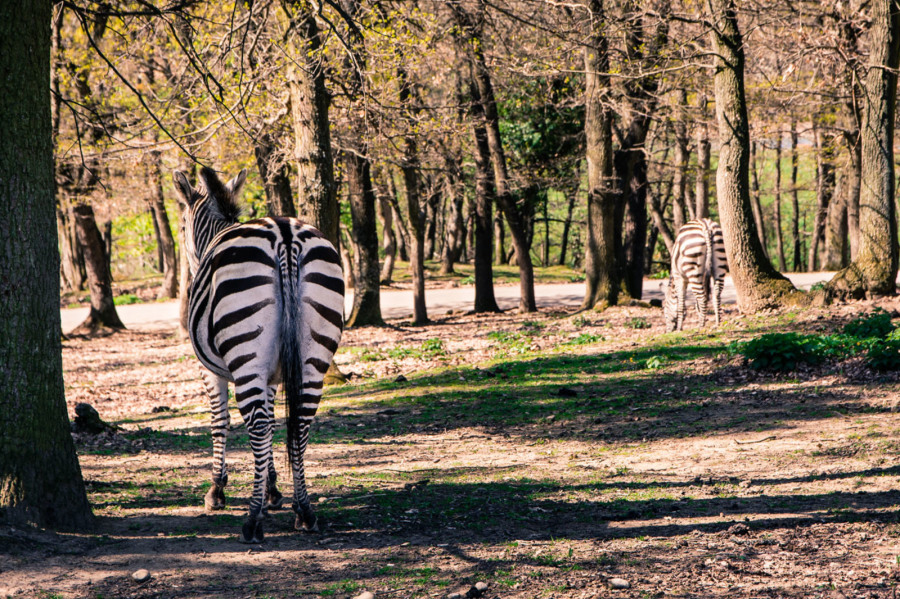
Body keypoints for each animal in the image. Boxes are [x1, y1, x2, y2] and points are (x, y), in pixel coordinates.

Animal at [172, 165, 344, 544]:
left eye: (180, 226)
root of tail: (284, 234)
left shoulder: (212, 371)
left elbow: (220, 420)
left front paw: (217, 490)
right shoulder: (274, 372)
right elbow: (275, 418)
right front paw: (272, 488)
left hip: (246, 351)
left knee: (259, 423)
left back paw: (252, 521)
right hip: (312, 355)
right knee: (301, 421)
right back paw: (304, 510)